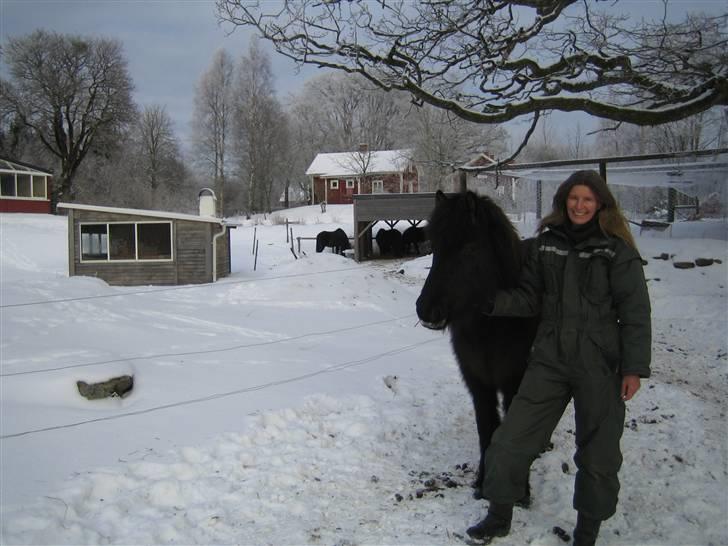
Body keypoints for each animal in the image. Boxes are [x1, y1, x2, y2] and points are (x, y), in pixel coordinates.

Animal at [416, 190, 540, 498]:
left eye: (470, 249)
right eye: (434, 247)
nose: (426, 309)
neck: (491, 330)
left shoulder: (514, 382)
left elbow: (513, 430)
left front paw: (520, 490)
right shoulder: (478, 383)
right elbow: (487, 429)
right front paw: (482, 483)